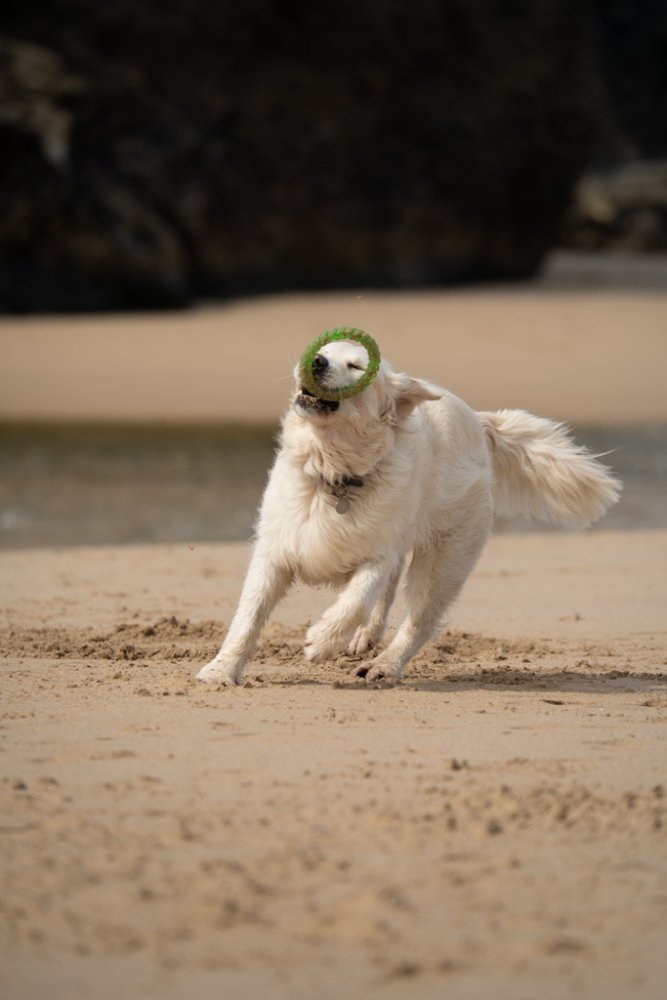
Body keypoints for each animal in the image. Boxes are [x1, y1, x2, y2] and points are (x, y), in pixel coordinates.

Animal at [197, 340, 620, 684]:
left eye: (356, 366)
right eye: (322, 350)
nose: (314, 361)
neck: (334, 474)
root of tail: (480, 422)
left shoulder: (378, 551)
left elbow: (357, 598)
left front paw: (321, 640)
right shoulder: (276, 548)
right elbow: (248, 617)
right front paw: (220, 671)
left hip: (444, 558)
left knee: (420, 619)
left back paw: (383, 665)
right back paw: (367, 639)